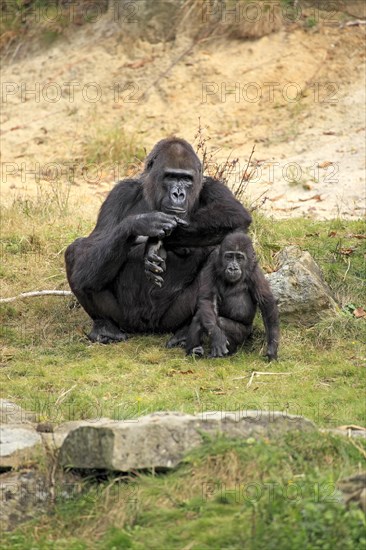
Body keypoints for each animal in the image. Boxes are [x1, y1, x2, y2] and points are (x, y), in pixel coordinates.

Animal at [65, 138, 252, 342]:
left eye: (186, 179)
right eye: (170, 177)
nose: (178, 194)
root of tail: (148, 328)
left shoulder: (214, 187)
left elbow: (235, 217)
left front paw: (159, 243)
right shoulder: (120, 193)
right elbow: (90, 247)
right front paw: (142, 224)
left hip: (169, 320)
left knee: (217, 252)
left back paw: (187, 331)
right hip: (125, 320)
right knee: (75, 252)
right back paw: (105, 326)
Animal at [186, 230, 280, 362]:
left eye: (240, 258)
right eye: (229, 257)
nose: (233, 268)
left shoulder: (255, 272)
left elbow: (267, 303)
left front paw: (272, 347)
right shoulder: (212, 262)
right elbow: (207, 298)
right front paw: (216, 335)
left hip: (245, 334)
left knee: (222, 322)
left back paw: (229, 352)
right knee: (201, 316)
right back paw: (194, 350)